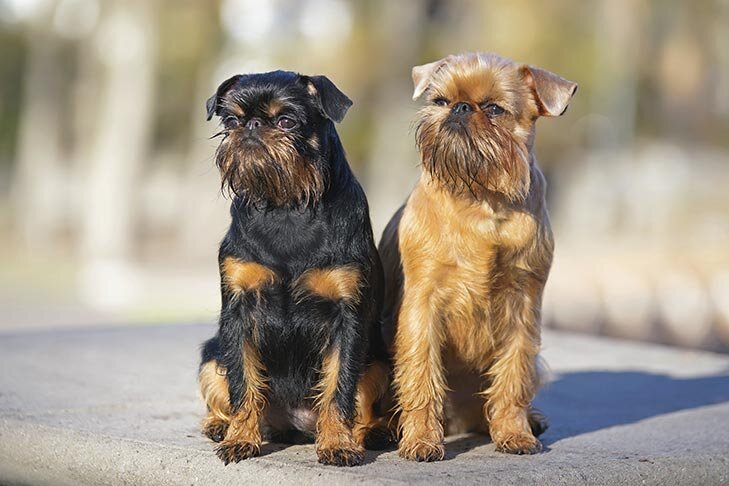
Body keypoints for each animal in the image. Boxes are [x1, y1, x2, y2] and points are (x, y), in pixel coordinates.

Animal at [199, 70, 390, 466]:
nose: (252, 125)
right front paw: (241, 438)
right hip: (211, 354)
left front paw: (337, 443)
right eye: (231, 121)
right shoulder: (237, 313)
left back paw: (371, 431)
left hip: (380, 361)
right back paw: (221, 425)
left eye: (287, 121)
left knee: (362, 405)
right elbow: (243, 384)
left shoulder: (347, 317)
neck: (286, 206)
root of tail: (297, 425)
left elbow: (339, 386)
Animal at [378, 51, 576, 462]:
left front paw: (514, 433)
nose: (460, 107)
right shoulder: (421, 306)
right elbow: (421, 374)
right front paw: (421, 440)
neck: (482, 198)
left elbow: (514, 375)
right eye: (440, 101)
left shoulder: (523, 306)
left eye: (495, 109)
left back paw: (525, 421)